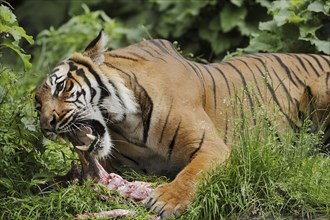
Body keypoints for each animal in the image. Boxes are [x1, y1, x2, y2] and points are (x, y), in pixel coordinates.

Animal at [34, 31, 330, 218]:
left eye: (61, 86)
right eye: (37, 105)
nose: (47, 125)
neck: (127, 123)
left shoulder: (212, 148)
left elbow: (191, 174)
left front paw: (166, 201)